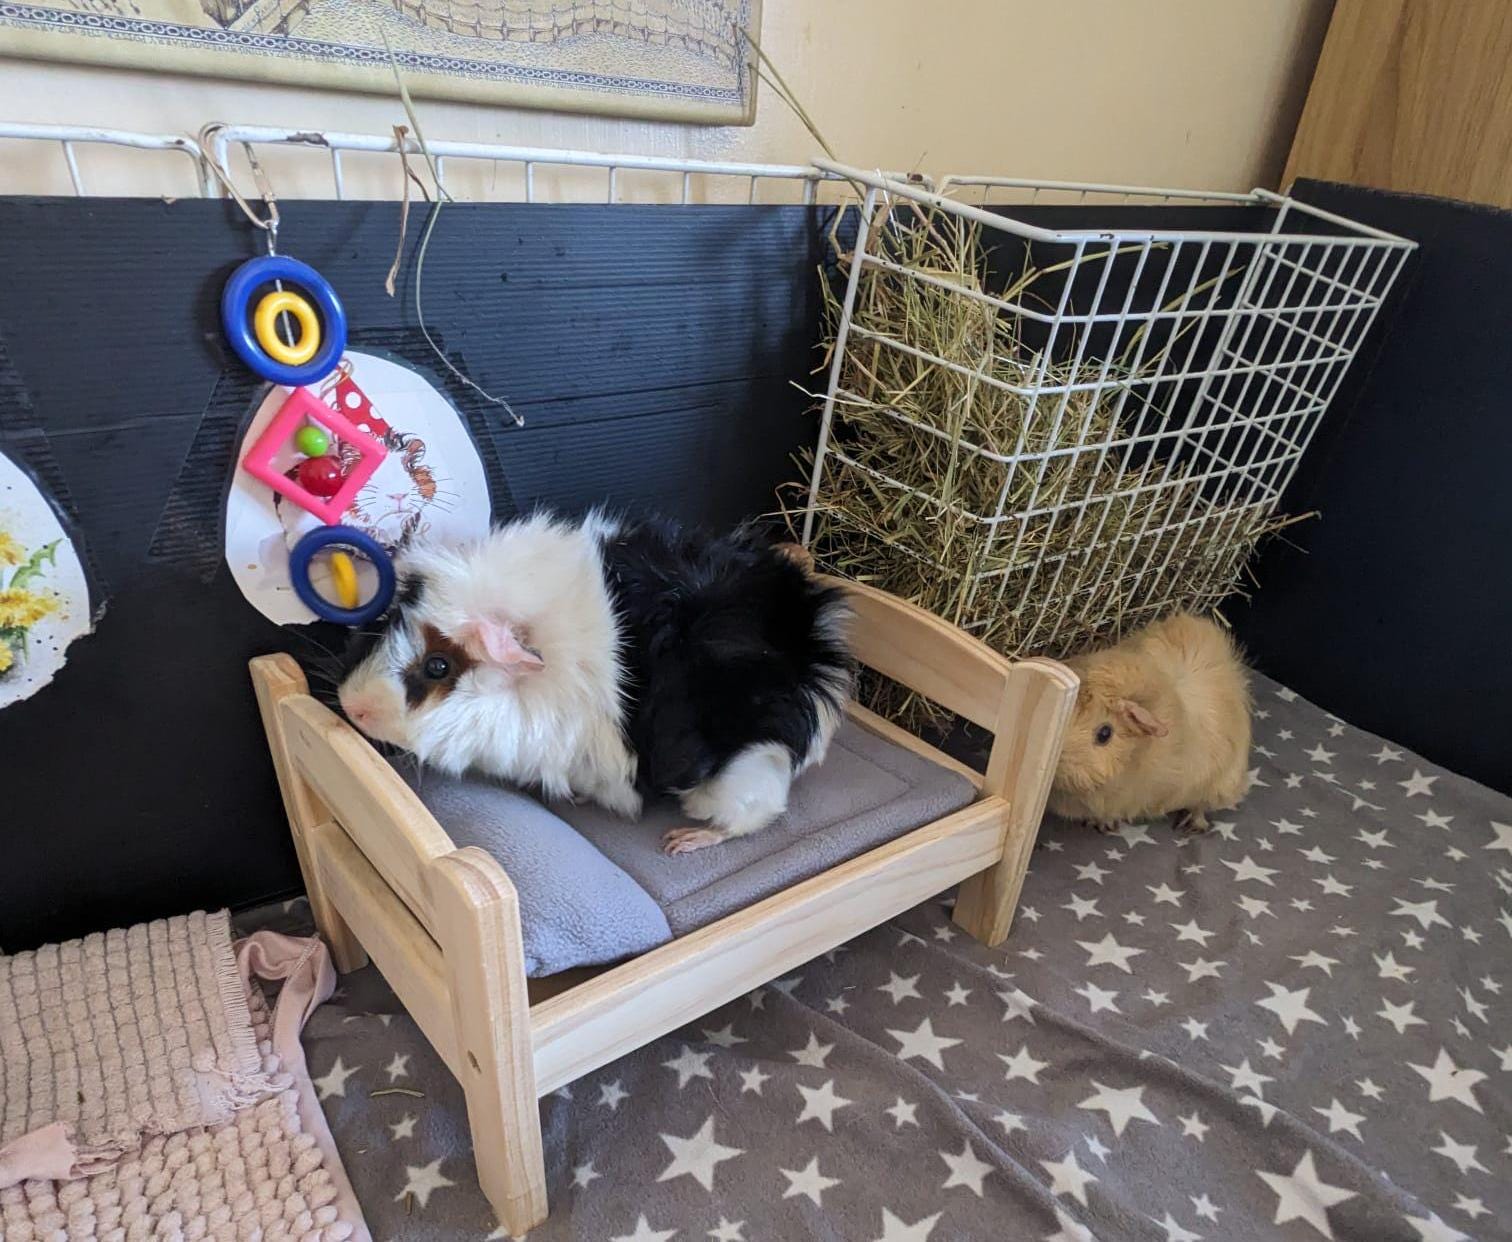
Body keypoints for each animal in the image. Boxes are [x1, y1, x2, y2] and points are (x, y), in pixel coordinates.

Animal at [336, 513, 852, 854]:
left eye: (438, 666)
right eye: (387, 623)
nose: (350, 704)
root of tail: (813, 645)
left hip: (745, 769)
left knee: (753, 815)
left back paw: (683, 840)